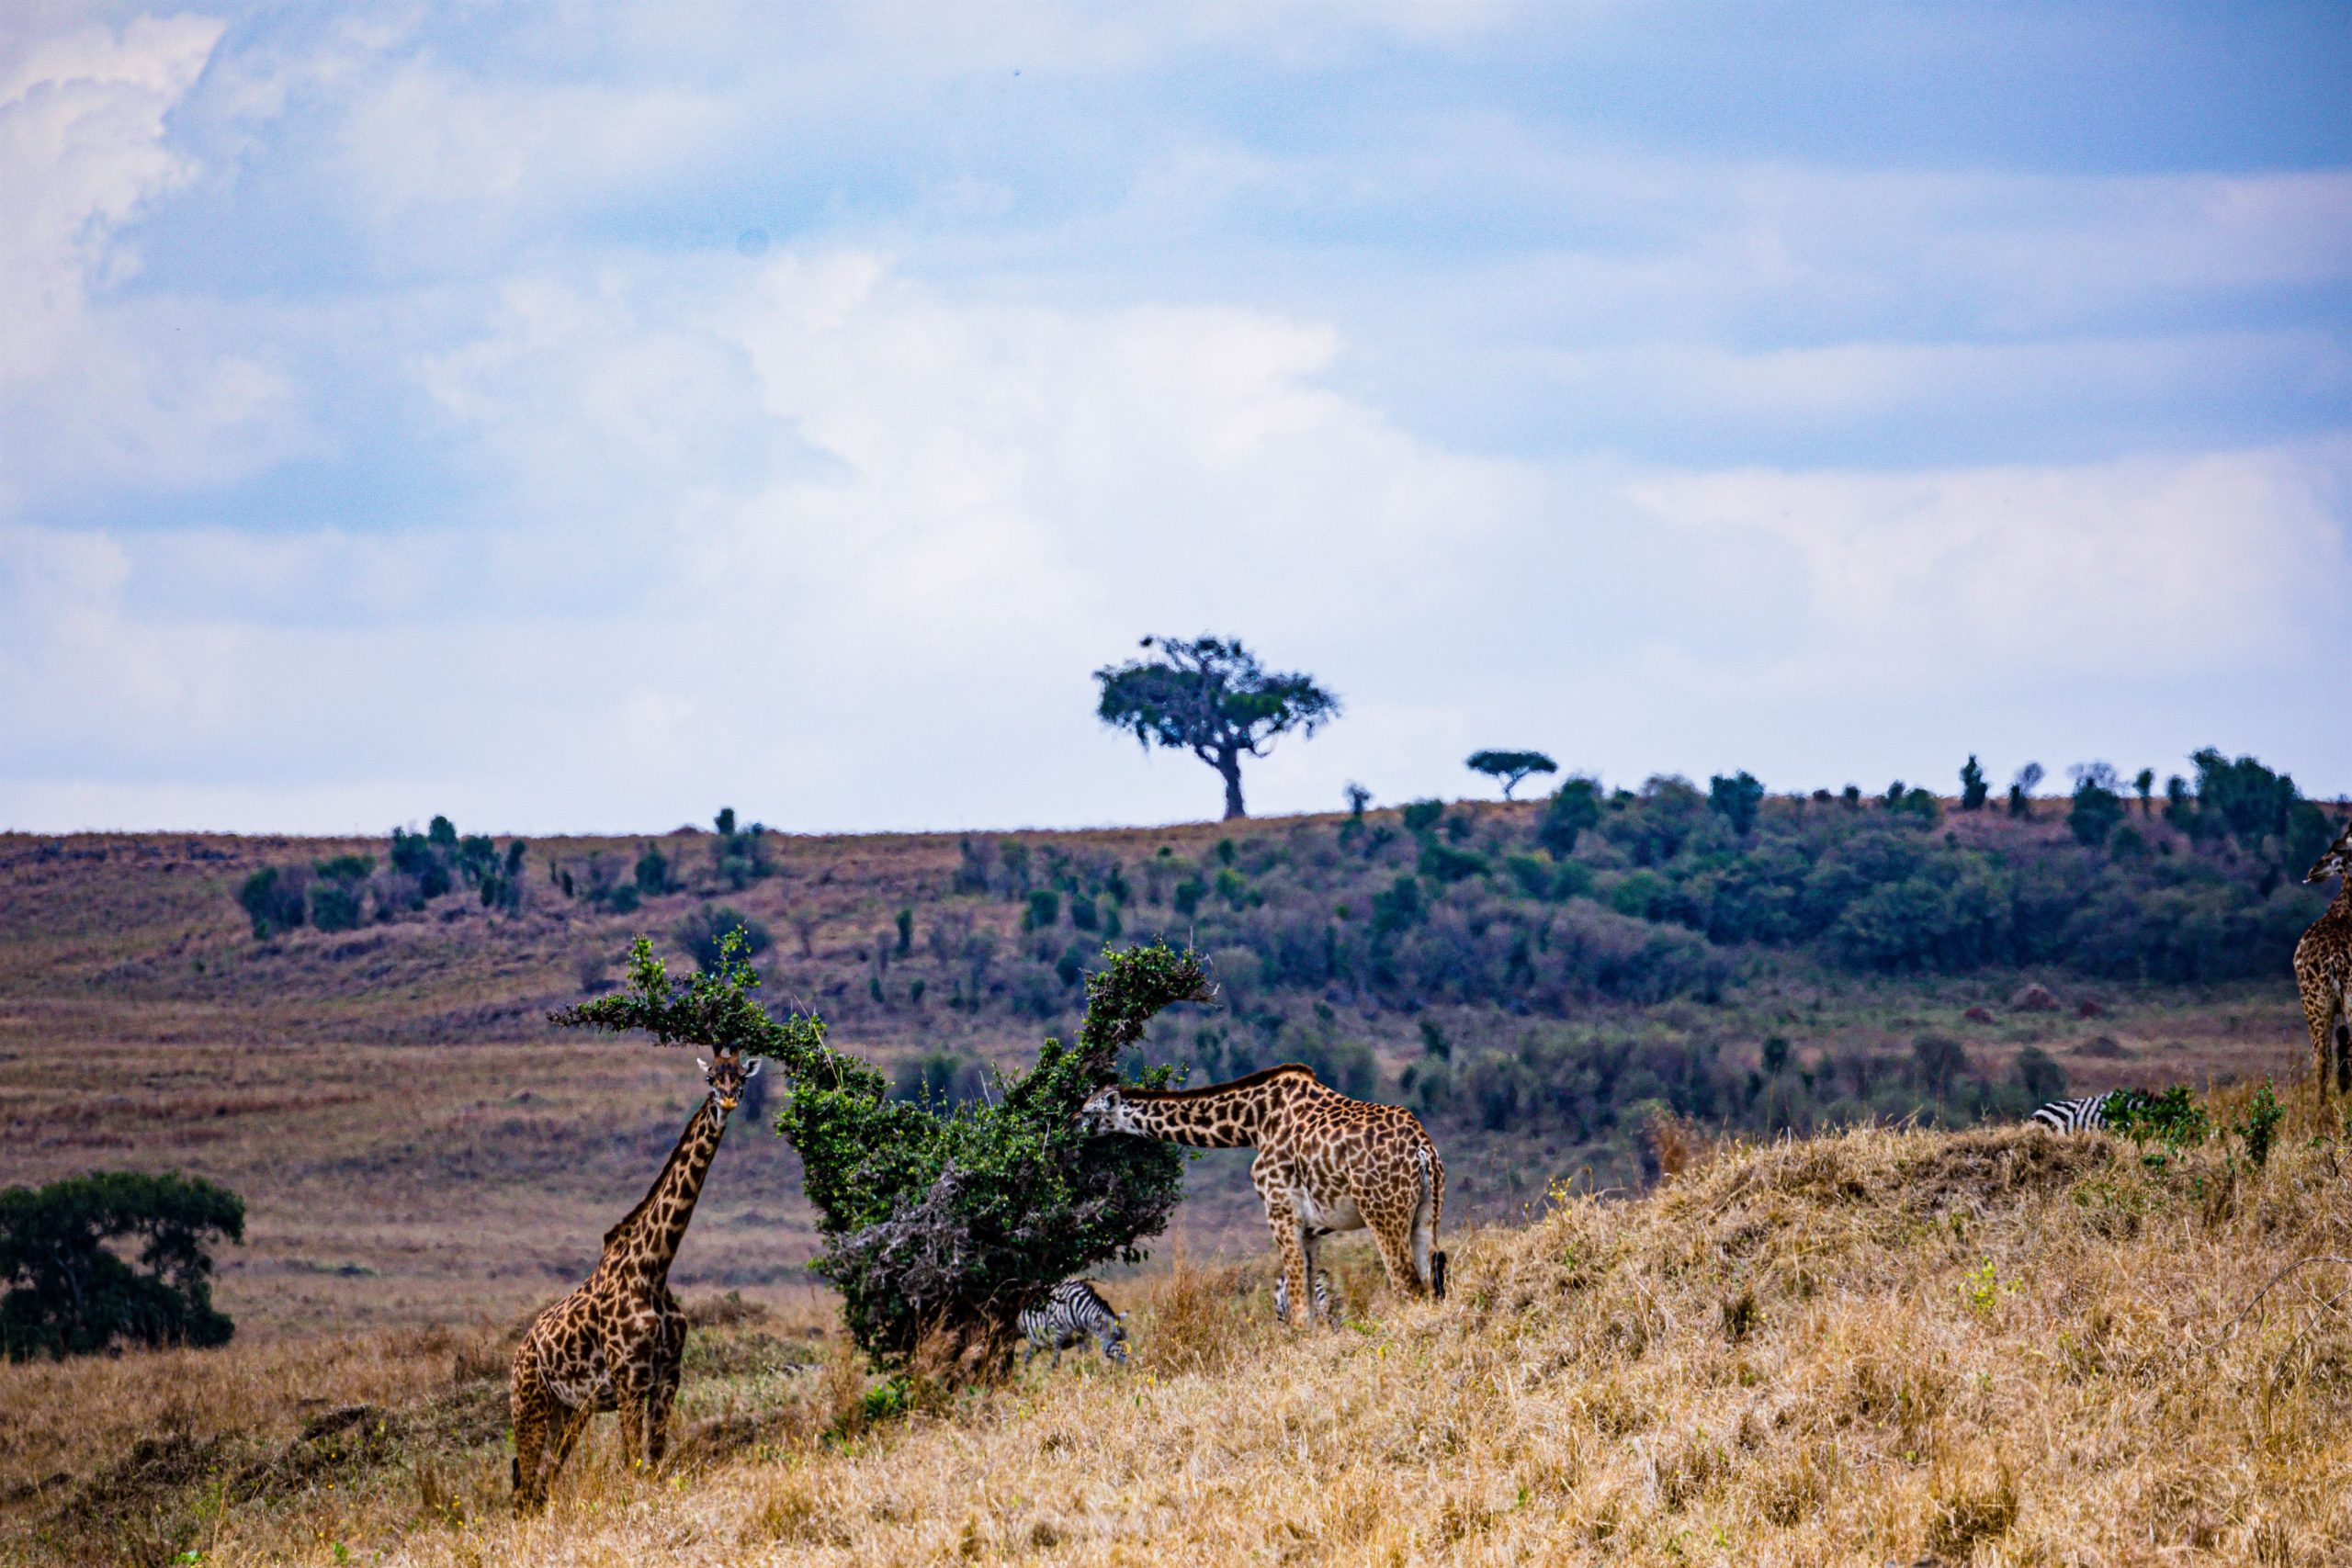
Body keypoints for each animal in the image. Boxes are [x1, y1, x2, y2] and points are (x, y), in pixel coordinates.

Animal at [509, 1050, 760, 1514]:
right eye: (711, 1078)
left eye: (740, 1077)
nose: (728, 1101)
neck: (655, 1267)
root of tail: (518, 1356)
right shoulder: (629, 1382)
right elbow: (632, 1468)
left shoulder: (667, 1378)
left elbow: (655, 1466)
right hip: (529, 1403)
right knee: (524, 1485)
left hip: (569, 1412)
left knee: (540, 1481)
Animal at [1078, 1063, 1445, 1327]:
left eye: (1086, 1112)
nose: (1071, 1127)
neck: (1253, 1123)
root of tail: (1420, 1147)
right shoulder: (1311, 1228)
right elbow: (1309, 1306)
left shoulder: (1280, 1211)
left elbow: (1298, 1314)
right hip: (1426, 1213)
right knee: (1431, 1282)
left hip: (1382, 1213)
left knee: (1407, 1286)